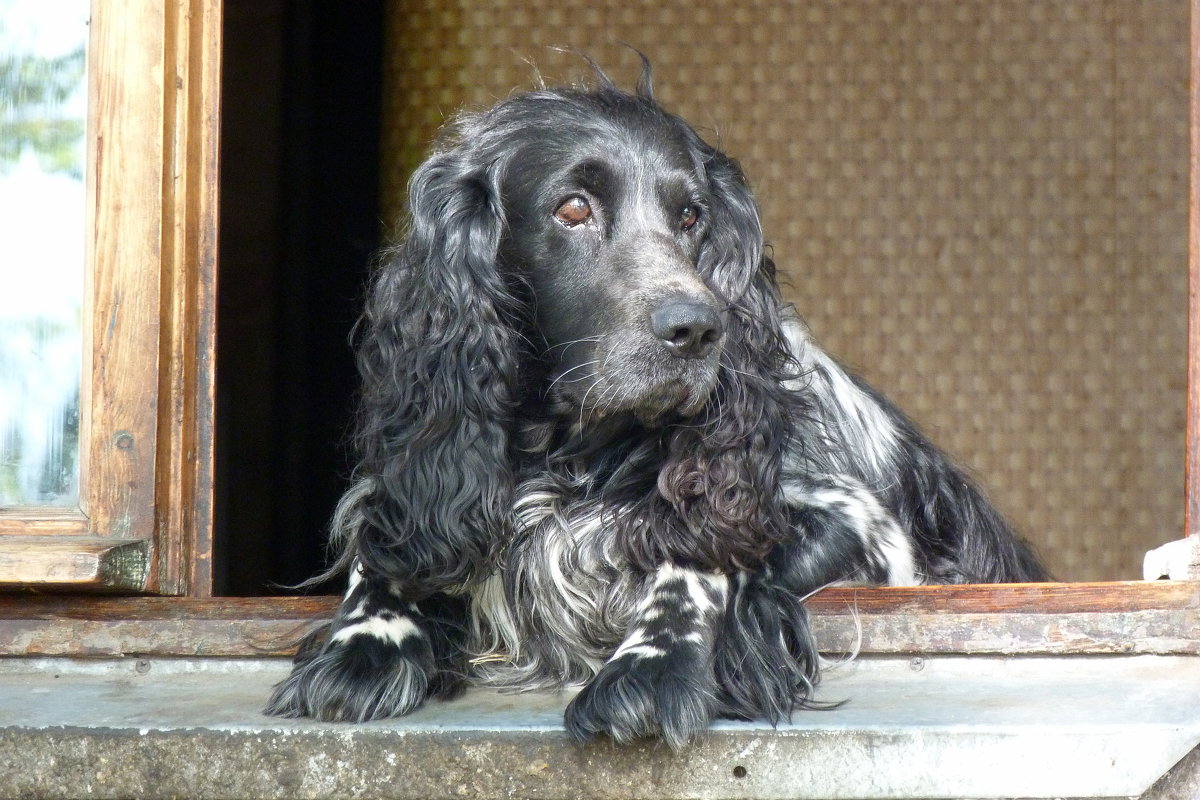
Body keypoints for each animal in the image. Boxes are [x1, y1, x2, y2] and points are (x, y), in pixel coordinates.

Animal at [267, 65, 1046, 748]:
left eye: (692, 214)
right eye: (573, 208)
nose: (698, 328)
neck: (573, 450)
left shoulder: (861, 530)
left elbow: (700, 548)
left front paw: (652, 665)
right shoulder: (424, 485)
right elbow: (391, 550)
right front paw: (366, 644)